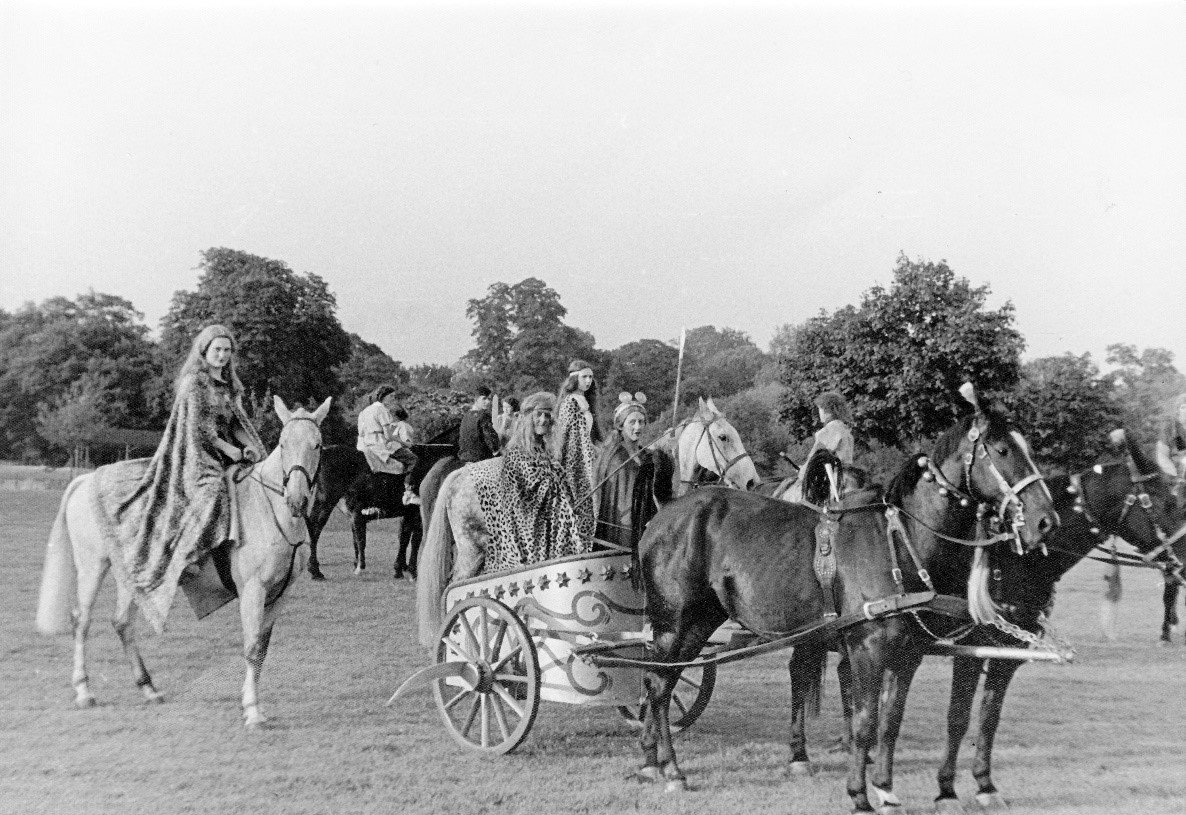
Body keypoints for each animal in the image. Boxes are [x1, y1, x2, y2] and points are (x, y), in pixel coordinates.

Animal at [34, 396, 329, 726]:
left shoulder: (280, 593)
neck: (270, 510)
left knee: (122, 622)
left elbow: (262, 648)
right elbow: (252, 646)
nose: (297, 500)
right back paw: (84, 691)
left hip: (133, 574)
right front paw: (252, 710)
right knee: (82, 620)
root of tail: (86, 479)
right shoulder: (254, 589)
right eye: (283, 442)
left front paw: (252, 703)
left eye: (317, 444)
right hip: (92, 566)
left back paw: (149, 689)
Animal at [305, 419, 457, 581]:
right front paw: (411, 571)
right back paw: (315, 570)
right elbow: (414, 539)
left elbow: (403, 537)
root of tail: (324, 452)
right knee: (315, 527)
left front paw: (399, 569)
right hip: (326, 501)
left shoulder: (407, 513)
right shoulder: (417, 512)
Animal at [635, 396, 1062, 811]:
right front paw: (859, 794)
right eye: (1003, 449)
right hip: (675, 624)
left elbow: (891, 722)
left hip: (699, 622)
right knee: (658, 684)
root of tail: (661, 518)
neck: (901, 540)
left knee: (660, 680)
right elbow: (864, 722)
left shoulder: (908, 654)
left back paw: (653, 762)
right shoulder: (868, 650)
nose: (1045, 521)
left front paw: (886, 791)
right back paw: (670, 769)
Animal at [934, 429, 1186, 811]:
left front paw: (985, 785)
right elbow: (958, 717)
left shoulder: (1007, 653)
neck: (1016, 558)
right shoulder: (970, 649)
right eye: (1170, 504)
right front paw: (947, 790)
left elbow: (989, 717)